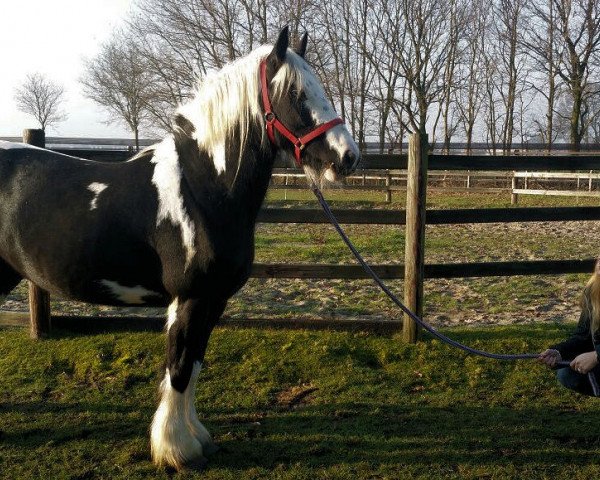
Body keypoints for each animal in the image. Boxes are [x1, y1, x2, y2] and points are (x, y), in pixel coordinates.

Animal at [0, 27, 356, 468]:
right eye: (296, 93)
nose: (348, 157)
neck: (205, 189)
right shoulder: (189, 298)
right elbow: (180, 367)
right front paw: (176, 450)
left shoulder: (213, 300)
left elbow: (195, 364)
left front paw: (196, 438)